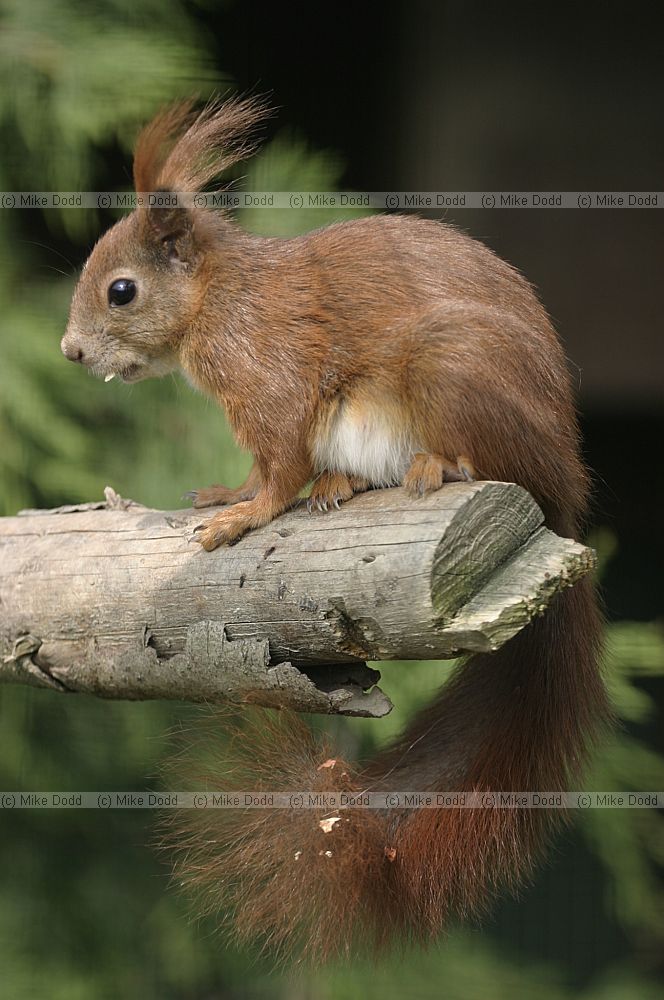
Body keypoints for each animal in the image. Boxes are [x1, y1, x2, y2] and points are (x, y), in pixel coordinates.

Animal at [62, 97, 610, 962]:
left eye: (122, 290)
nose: (71, 351)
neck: (221, 299)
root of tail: (563, 505)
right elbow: (263, 468)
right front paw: (226, 493)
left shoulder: (272, 378)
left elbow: (279, 462)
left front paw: (242, 515)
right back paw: (341, 483)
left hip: (455, 370)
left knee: (485, 458)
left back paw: (434, 466)